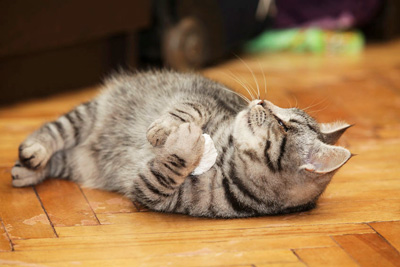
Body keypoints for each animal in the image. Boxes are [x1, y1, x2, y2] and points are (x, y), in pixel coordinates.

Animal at [10, 70, 352, 219]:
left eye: (282, 124)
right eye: (279, 112)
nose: (261, 100)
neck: (227, 160)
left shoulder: (151, 193)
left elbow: (167, 169)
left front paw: (185, 144)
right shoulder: (206, 101)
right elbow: (190, 108)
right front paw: (168, 128)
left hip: (81, 161)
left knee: (60, 156)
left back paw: (28, 170)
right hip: (86, 117)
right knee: (53, 132)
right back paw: (33, 154)